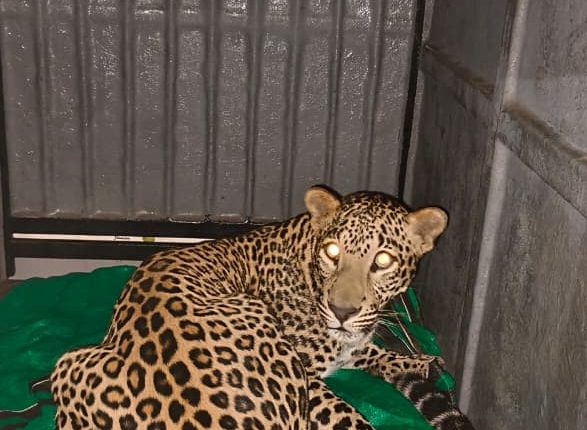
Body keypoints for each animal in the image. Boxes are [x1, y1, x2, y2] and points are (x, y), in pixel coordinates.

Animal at [50, 185, 473, 429]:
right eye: (332, 251)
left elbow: (369, 350)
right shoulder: (310, 375)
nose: (341, 311)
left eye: (382, 260)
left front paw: (419, 362)